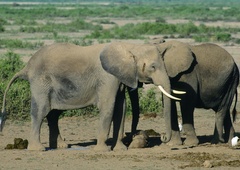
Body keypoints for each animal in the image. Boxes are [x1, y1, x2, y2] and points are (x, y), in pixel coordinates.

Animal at [0, 41, 180, 151]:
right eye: (153, 67)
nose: (163, 137)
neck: (130, 46)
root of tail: (27, 67)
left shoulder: (118, 78)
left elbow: (120, 109)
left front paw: (120, 149)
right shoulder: (107, 77)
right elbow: (108, 106)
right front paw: (102, 150)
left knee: (53, 115)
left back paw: (61, 147)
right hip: (40, 82)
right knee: (41, 111)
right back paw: (38, 149)